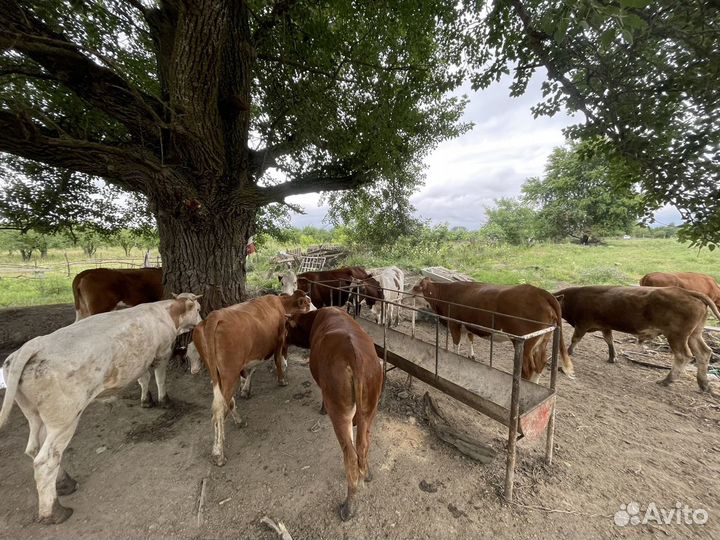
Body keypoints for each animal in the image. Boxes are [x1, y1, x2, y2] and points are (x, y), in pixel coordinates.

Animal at [0, 294, 202, 524]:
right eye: (198, 309)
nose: (201, 320)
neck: (164, 312)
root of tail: (33, 345)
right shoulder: (162, 353)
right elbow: (159, 378)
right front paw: (164, 400)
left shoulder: (140, 361)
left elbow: (143, 379)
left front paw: (146, 400)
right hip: (64, 419)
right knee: (45, 461)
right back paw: (54, 512)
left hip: (34, 415)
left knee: (35, 448)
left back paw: (65, 483)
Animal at [193, 292, 314, 464]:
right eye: (308, 303)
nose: (317, 308)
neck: (281, 304)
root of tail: (213, 316)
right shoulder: (279, 340)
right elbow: (278, 360)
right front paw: (282, 379)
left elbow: (252, 370)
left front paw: (246, 389)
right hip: (230, 373)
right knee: (219, 409)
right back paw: (218, 453)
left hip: (217, 373)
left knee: (226, 402)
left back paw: (239, 421)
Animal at [284, 308, 382, 524]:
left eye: (286, 327)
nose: (282, 340)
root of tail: (356, 357)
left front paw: (321, 408)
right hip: (369, 408)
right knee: (363, 445)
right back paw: (367, 473)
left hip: (339, 411)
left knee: (350, 455)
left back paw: (349, 506)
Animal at [410, 278, 572, 384]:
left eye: (415, 287)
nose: (408, 292)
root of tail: (542, 293)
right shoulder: (469, 325)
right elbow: (470, 339)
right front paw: (471, 356)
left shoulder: (454, 323)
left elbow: (456, 344)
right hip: (543, 340)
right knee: (541, 362)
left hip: (526, 343)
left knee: (528, 368)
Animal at [556, 286, 716, 392]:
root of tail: (687, 292)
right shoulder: (605, 326)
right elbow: (609, 340)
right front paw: (612, 357)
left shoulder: (582, 324)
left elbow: (575, 339)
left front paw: (568, 353)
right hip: (694, 335)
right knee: (704, 353)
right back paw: (704, 384)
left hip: (677, 336)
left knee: (683, 355)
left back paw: (667, 380)